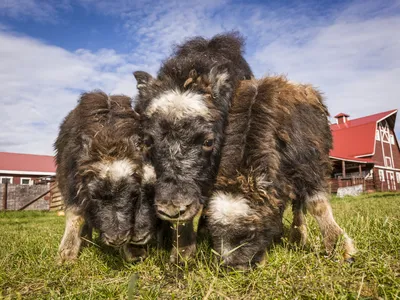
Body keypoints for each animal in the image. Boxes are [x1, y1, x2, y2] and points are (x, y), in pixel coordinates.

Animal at [54, 91, 144, 262]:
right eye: (94, 196)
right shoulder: (71, 183)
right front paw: (66, 256)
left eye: (134, 194)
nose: (117, 239)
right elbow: (76, 215)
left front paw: (132, 253)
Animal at [206, 77, 356, 270]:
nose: (233, 268)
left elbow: (317, 206)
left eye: (248, 235)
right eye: (214, 233)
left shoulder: (310, 169)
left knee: (299, 206)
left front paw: (340, 250)